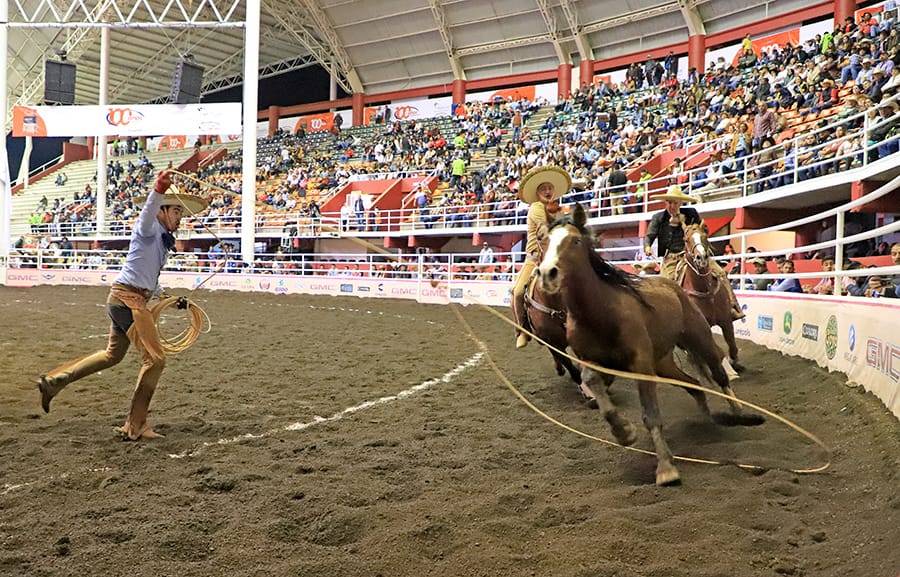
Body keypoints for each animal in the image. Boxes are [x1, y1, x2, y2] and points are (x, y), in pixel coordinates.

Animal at [684, 223, 744, 372]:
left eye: (705, 237)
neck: (705, 291)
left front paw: (734, 361)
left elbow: (731, 342)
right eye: (686, 240)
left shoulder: (726, 320)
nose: (701, 257)